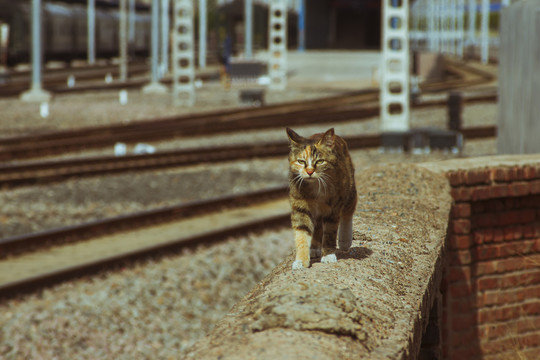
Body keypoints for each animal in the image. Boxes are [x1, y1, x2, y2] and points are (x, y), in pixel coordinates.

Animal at [284, 128, 356, 268]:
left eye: (319, 161)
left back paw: (344, 241)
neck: (315, 186)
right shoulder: (300, 206)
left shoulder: (333, 208)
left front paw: (328, 255)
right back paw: (314, 248)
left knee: (348, 211)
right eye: (301, 161)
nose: (309, 172)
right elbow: (301, 232)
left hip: (349, 188)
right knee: (317, 225)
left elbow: (329, 233)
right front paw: (301, 260)